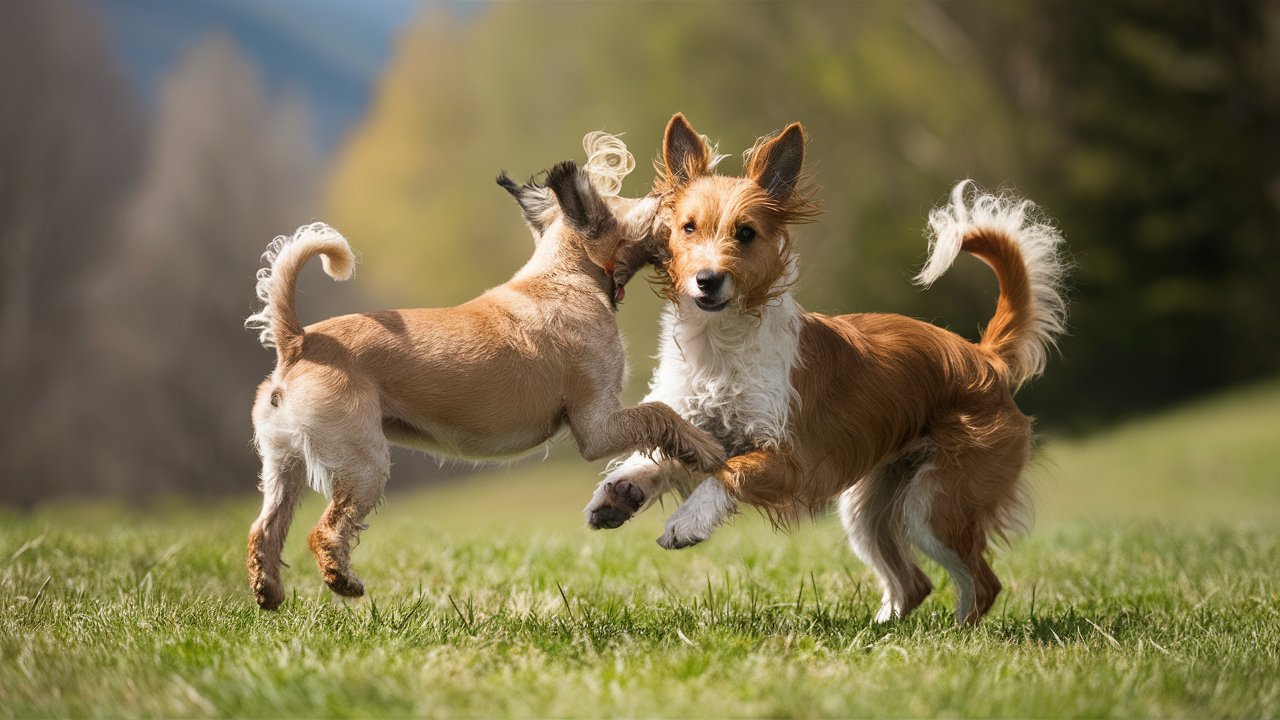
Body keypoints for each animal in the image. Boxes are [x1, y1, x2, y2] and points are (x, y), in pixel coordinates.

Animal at [243, 155, 727, 604]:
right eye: (654, 208)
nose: (681, 212)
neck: (565, 274)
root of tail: (298, 342)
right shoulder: (597, 426)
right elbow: (660, 413)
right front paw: (706, 448)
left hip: (284, 465)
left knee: (264, 530)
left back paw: (268, 592)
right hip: (361, 466)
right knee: (324, 533)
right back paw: (342, 582)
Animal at [586, 113, 1064, 622]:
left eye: (745, 233)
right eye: (688, 228)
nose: (707, 280)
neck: (718, 347)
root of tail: (984, 357)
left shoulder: (793, 461)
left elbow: (730, 470)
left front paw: (687, 520)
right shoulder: (695, 423)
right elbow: (657, 455)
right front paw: (619, 492)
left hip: (936, 505)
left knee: (983, 583)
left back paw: (960, 634)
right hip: (867, 509)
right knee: (913, 584)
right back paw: (883, 631)